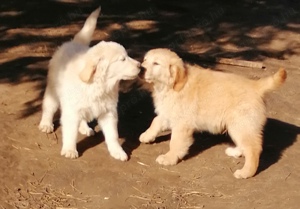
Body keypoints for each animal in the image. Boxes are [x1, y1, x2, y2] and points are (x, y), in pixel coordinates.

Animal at [38, 7, 141, 160]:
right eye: (122, 59)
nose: (140, 66)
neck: (100, 85)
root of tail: (74, 43)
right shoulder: (72, 110)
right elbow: (70, 132)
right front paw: (70, 150)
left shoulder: (108, 112)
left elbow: (113, 135)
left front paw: (117, 151)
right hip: (53, 91)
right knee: (49, 107)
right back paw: (46, 124)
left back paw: (84, 127)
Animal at [139, 48, 288, 178]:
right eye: (145, 60)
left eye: (156, 63)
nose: (140, 69)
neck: (170, 86)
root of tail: (256, 86)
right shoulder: (168, 113)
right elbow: (155, 121)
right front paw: (147, 135)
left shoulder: (181, 123)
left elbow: (175, 142)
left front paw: (169, 157)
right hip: (239, 126)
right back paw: (235, 151)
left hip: (241, 124)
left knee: (253, 149)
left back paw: (246, 172)